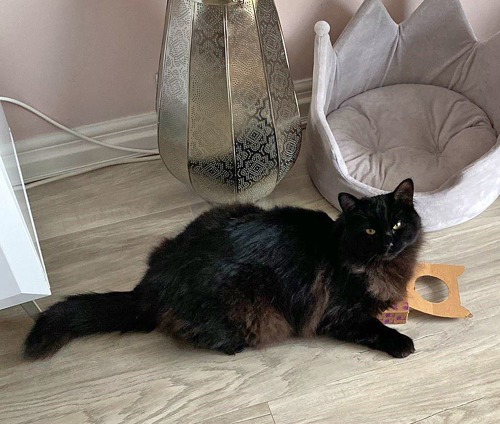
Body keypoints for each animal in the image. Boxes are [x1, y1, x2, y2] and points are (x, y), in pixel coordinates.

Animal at [23, 181, 422, 360]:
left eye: (397, 225)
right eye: (369, 231)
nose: (389, 243)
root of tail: (152, 282)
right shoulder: (337, 313)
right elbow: (372, 327)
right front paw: (403, 344)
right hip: (251, 311)